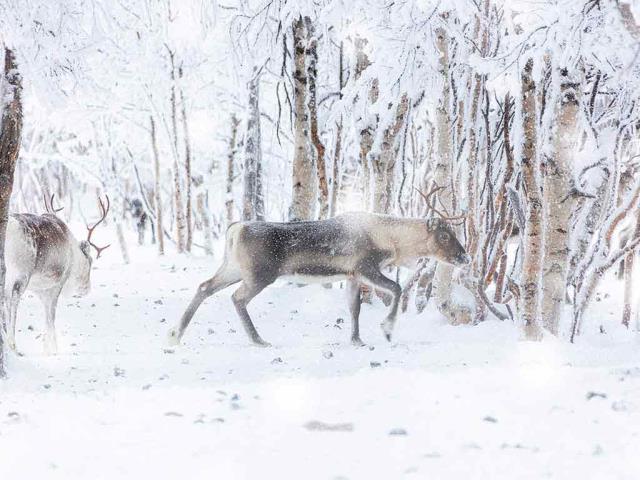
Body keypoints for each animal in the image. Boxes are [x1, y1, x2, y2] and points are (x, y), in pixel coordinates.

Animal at [2, 194, 110, 354]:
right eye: (90, 261)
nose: (87, 289)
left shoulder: (41, 290)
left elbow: (47, 318)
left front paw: (47, 347)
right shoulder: (57, 283)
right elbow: (51, 318)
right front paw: (53, 350)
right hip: (20, 273)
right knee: (12, 300)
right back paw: (13, 345)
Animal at [168, 209, 470, 348]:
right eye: (445, 235)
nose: (465, 258)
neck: (393, 242)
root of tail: (235, 229)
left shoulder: (352, 275)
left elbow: (354, 308)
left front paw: (357, 340)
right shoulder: (365, 267)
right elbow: (396, 288)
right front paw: (386, 329)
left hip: (233, 268)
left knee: (205, 286)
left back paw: (175, 334)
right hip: (259, 275)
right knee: (237, 297)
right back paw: (258, 339)